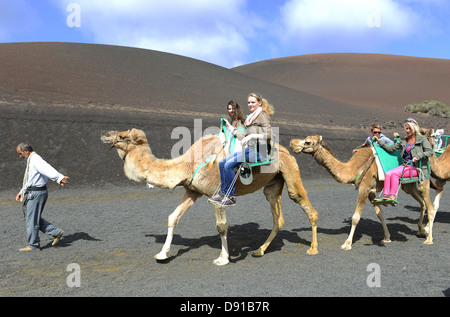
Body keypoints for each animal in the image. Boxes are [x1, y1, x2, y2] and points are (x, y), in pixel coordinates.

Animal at [101, 128, 320, 264]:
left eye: (123, 136)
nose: (104, 134)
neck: (188, 164)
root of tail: (287, 152)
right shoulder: (192, 191)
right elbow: (173, 217)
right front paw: (162, 254)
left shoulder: (218, 196)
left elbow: (221, 226)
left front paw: (223, 258)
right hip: (273, 184)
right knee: (278, 218)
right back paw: (259, 250)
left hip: (290, 173)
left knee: (305, 204)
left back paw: (313, 249)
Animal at [288, 136, 436, 249]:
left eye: (307, 142)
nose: (292, 143)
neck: (353, 168)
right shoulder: (370, 192)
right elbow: (380, 214)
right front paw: (386, 237)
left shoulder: (364, 187)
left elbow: (355, 217)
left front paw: (347, 243)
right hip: (408, 185)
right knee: (422, 203)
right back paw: (421, 230)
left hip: (423, 181)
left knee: (430, 207)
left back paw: (429, 238)